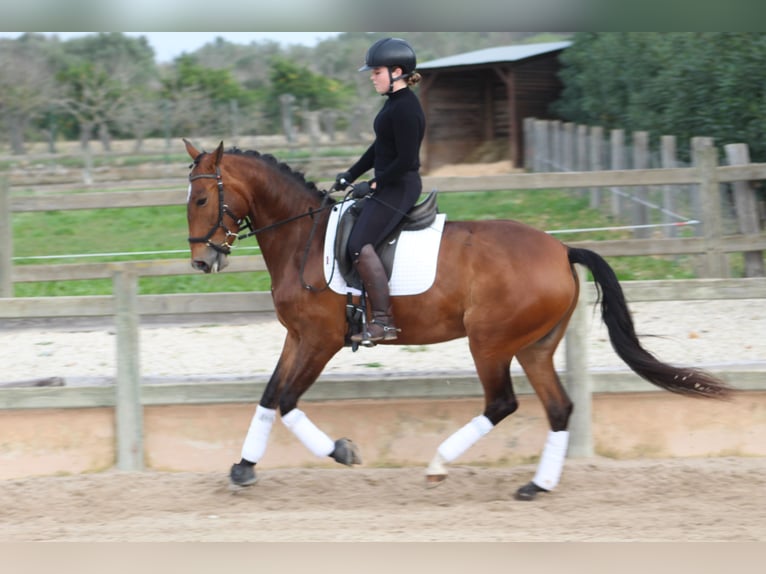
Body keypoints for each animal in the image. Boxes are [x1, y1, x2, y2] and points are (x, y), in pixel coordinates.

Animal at [182, 138, 732, 500]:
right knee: (558, 408)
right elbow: (269, 396)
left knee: (502, 403)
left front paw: (342, 451)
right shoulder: (297, 337)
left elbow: (289, 401)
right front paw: (242, 468)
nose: (202, 263)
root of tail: (561, 249)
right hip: (534, 346)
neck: (303, 239)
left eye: (203, 198)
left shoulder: (322, 340)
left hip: (489, 342)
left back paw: (439, 463)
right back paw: (537, 485)